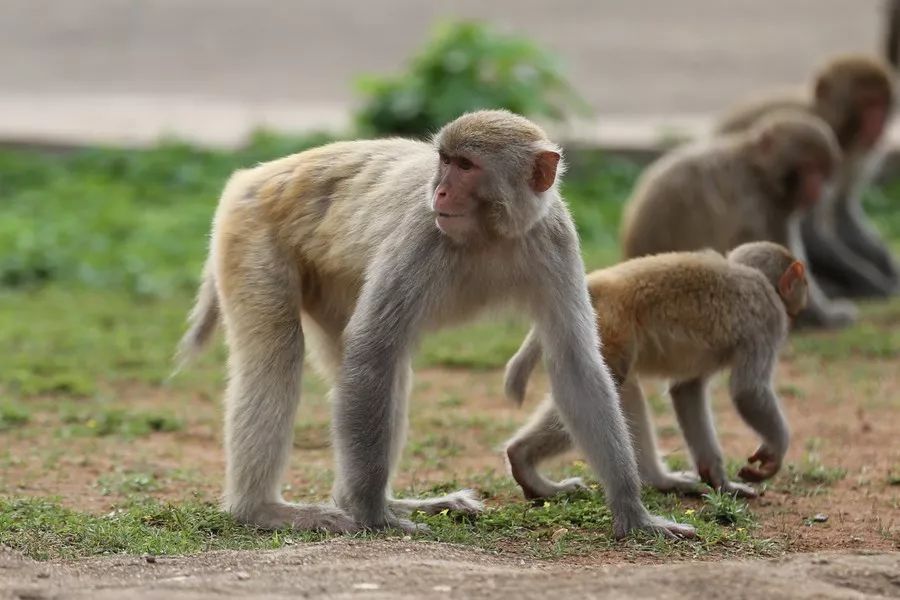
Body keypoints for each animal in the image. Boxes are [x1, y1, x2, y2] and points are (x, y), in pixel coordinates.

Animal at [176, 110, 696, 540]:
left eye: (465, 165)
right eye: (444, 161)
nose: (439, 191)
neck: (491, 233)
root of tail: (252, 175)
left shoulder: (554, 237)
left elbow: (575, 363)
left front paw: (633, 511)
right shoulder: (423, 234)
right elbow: (373, 348)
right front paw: (374, 516)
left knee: (378, 370)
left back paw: (389, 500)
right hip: (249, 232)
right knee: (281, 359)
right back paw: (266, 510)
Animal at [502, 241, 804, 500]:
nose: (800, 304)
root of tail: (595, 283)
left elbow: (686, 390)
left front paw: (719, 479)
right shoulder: (769, 319)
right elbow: (749, 391)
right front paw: (776, 450)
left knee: (623, 388)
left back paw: (659, 479)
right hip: (611, 327)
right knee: (609, 383)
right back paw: (522, 459)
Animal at [620, 110, 852, 330]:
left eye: (821, 170)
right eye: (808, 167)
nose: (817, 189)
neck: (757, 171)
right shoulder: (754, 204)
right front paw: (828, 316)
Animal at [716, 54, 900, 300]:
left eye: (880, 102)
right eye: (867, 102)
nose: (877, 124)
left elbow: (843, 214)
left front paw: (889, 269)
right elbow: (809, 232)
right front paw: (874, 284)